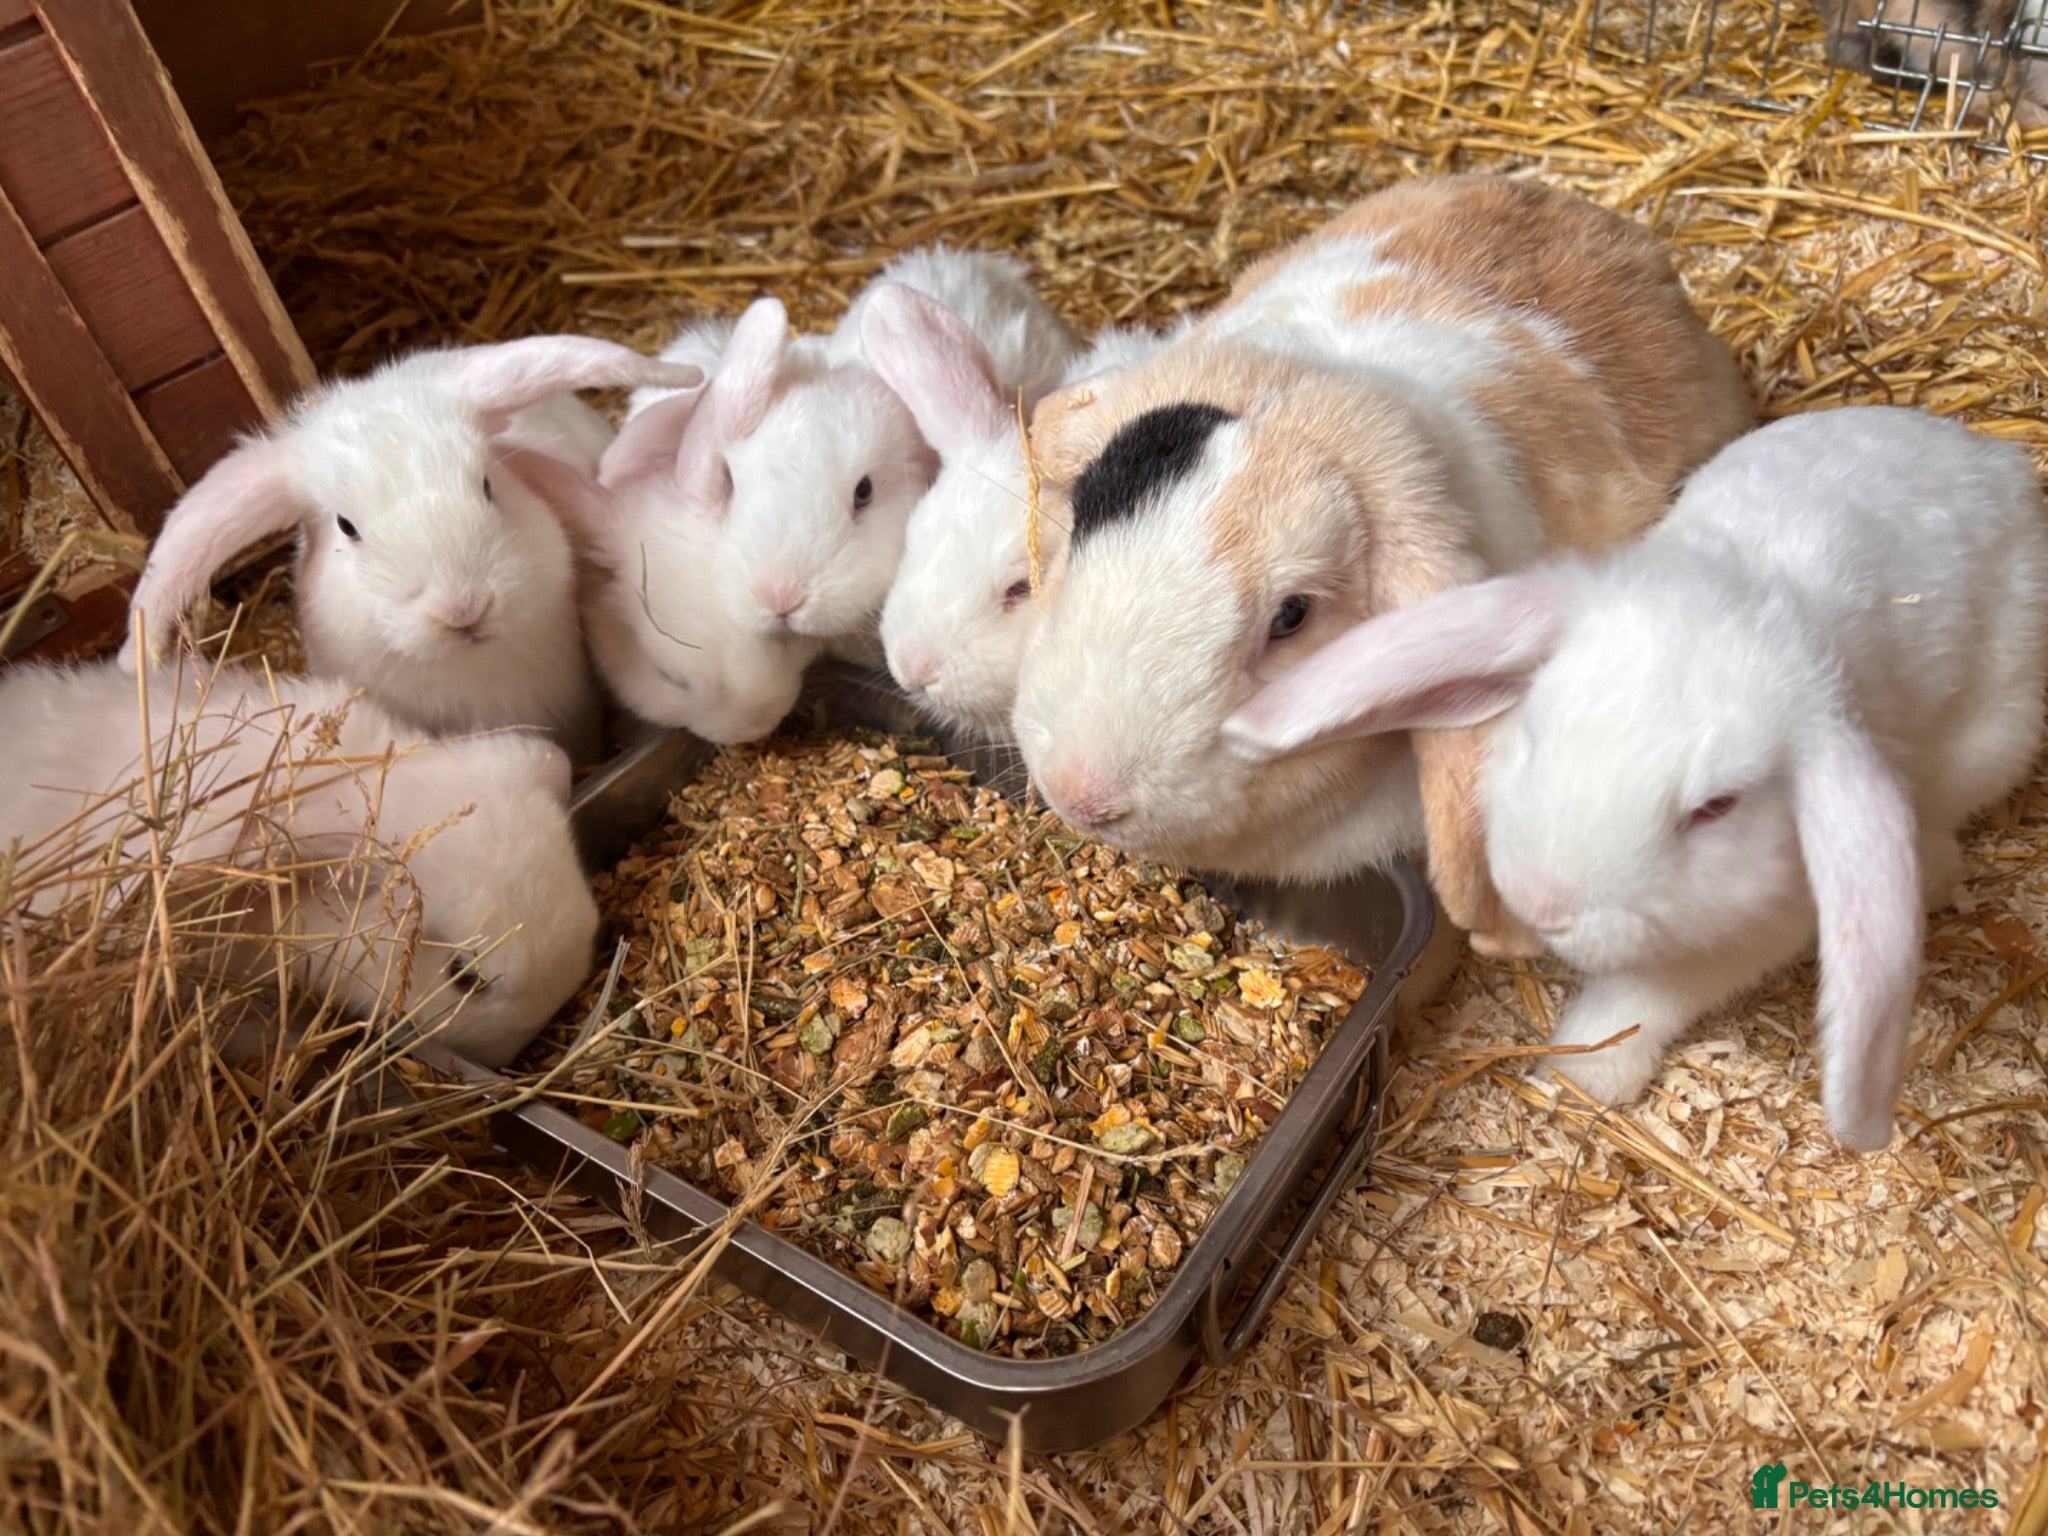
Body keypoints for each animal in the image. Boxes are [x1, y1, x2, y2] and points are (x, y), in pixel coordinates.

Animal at [1223, 407, 2048, 1150]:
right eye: (1535, 726)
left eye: (1715, 808)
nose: (1543, 902)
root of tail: (2000, 461)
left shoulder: (1754, 927)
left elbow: (1646, 995)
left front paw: (1580, 1072)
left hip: (1989, 741)